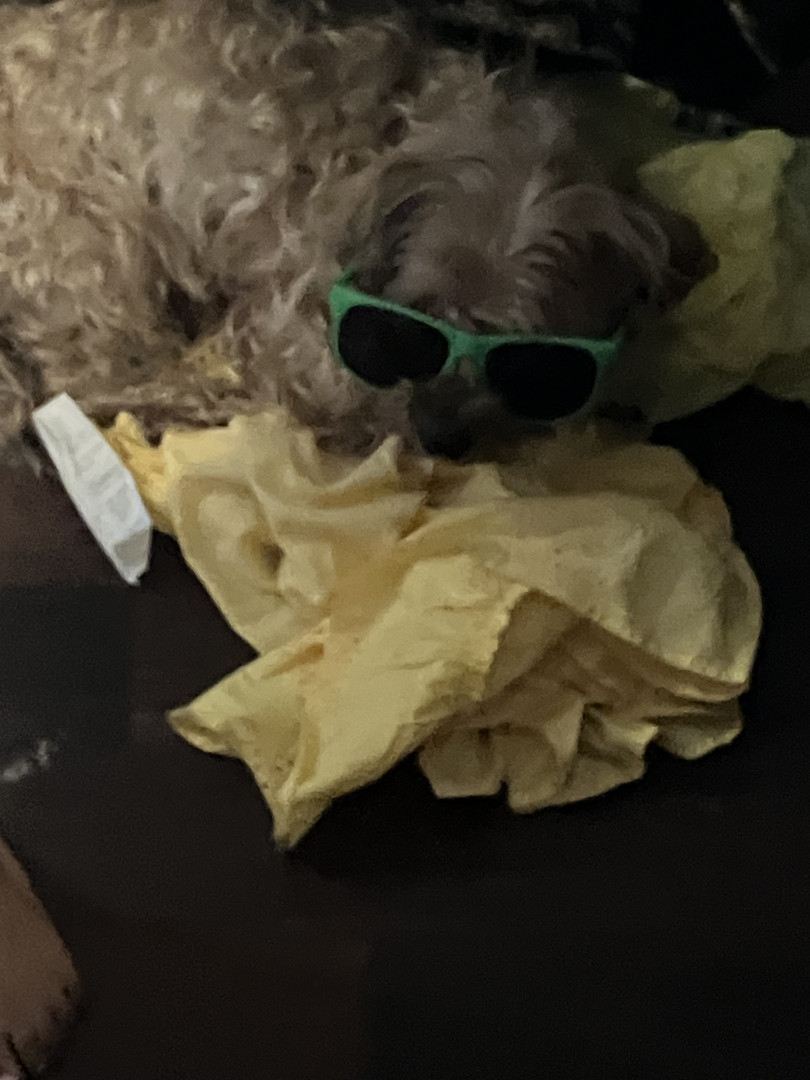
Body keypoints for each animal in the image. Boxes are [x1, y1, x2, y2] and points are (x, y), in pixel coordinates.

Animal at [0, 0, 711, 459]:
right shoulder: (296, 331)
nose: (443, 440)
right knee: (85, 382)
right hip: (89, 242)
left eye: (528, 357)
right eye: (410, 321)